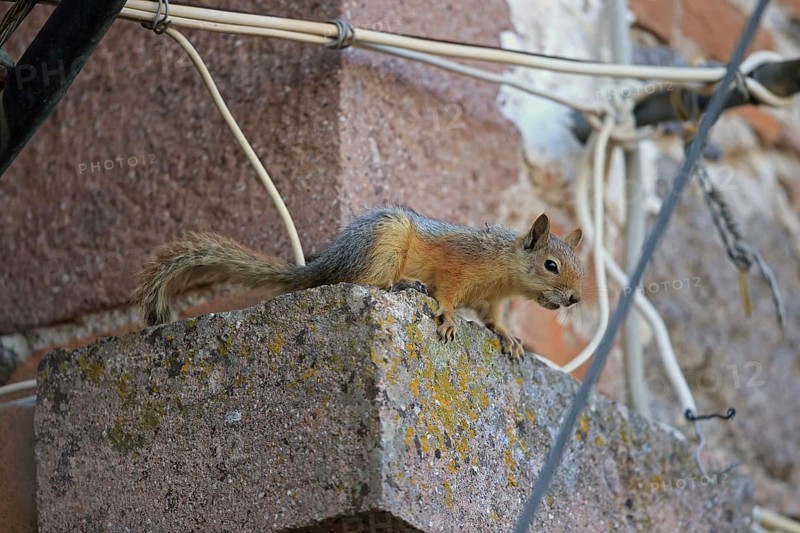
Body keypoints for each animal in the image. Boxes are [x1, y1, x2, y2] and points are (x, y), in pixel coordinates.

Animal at [134, 206, 585, 358]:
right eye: (550, 265)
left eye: (579, 268)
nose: (575, 299)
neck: (503, 267)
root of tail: (326, 264)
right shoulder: (459, 267)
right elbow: (447, 294)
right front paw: (449, 318)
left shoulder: (493, 299)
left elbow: (493, 319)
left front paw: (508, 336)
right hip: (384, 245)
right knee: (364, 283)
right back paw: (403, 286)